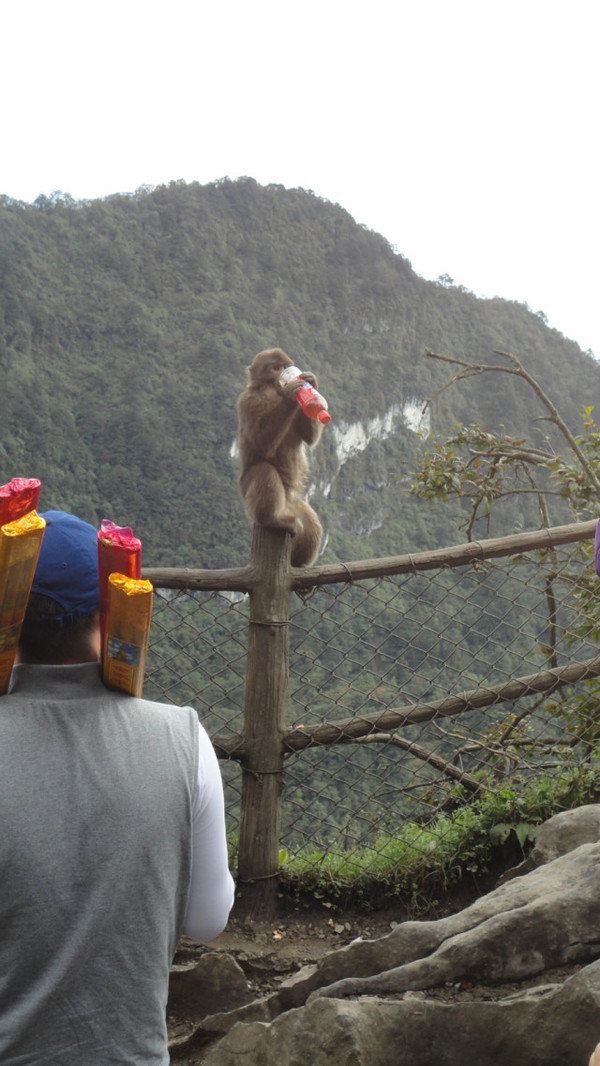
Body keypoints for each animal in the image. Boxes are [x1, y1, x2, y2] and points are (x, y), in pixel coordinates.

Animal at [234, 347, 323, 567]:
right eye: (276, 368)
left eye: (284, 366)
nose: (284, 372)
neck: (273, 391)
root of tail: (286, 506)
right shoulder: (247, 401)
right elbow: (260, 444)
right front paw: (290, 395)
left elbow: (309, 437)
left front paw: (311, 381)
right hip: (247, 492)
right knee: (263, 470)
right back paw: (273, 520)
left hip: (295, 505)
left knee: (312, 527)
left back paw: (299, 564)